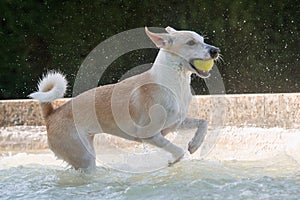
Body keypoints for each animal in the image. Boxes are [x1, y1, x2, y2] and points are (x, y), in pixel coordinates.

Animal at [28, 25, 220, 171]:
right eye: (191, 43)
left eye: (202, 39)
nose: (215, 50)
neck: (174, 82)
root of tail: (51, 114)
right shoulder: (149, 135)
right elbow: (178, 150)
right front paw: (173, 160)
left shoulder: (175, 124)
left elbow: (203, 123)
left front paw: (194, 145)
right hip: (84, 157)